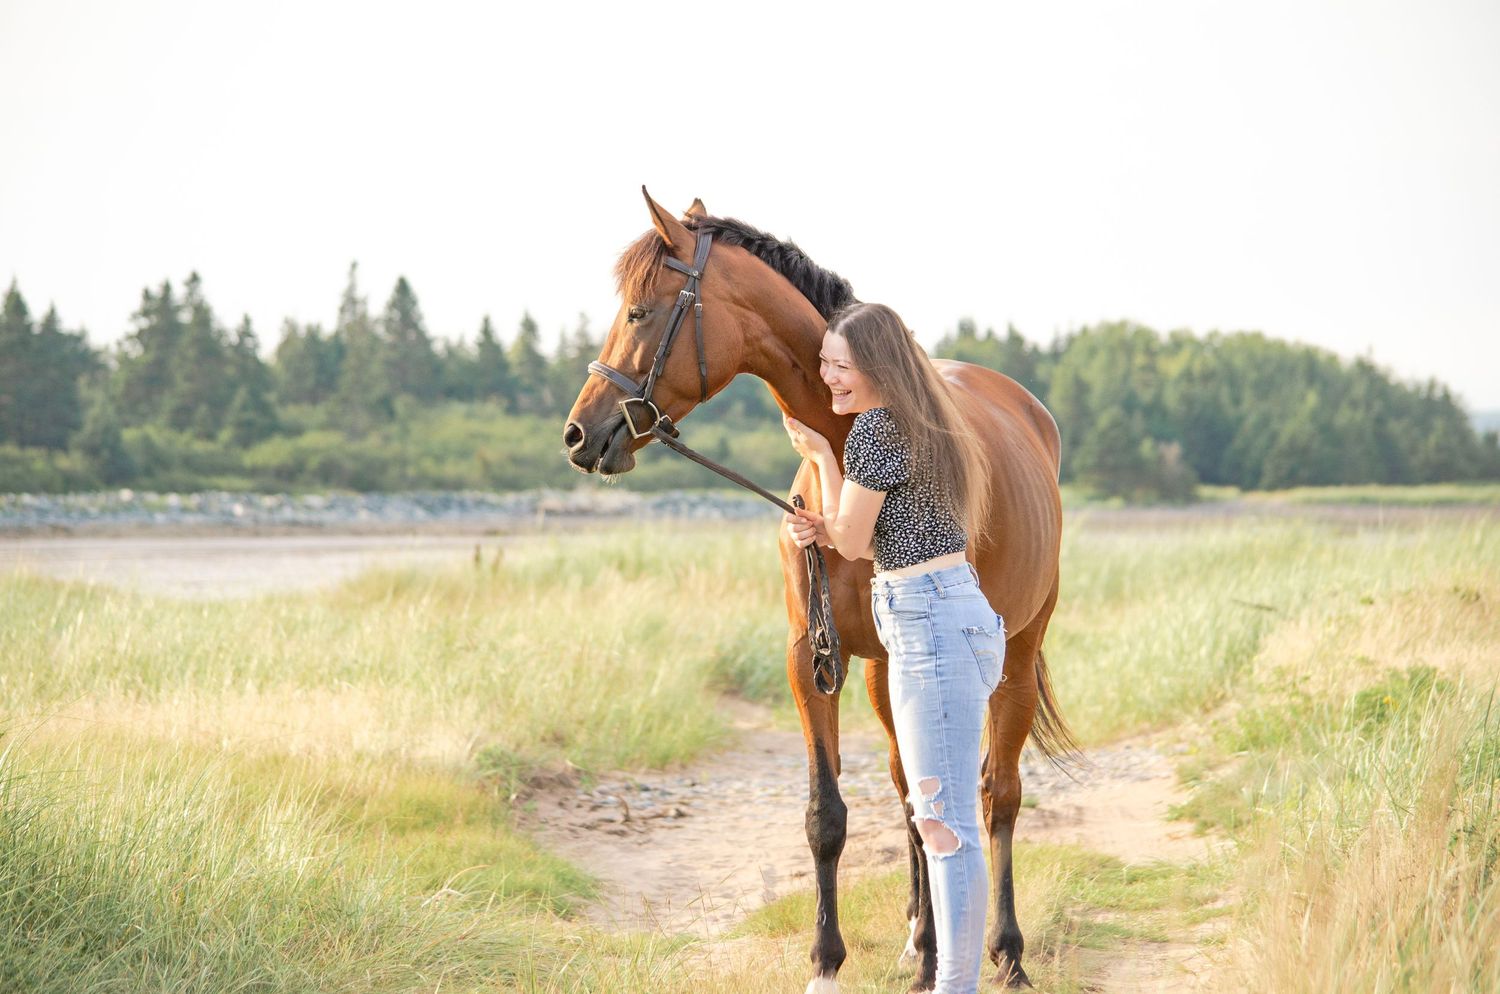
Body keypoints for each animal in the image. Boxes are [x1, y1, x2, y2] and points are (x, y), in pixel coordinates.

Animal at [563, 189, 1074, 992]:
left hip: (1015, 656)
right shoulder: (814, 659)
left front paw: (946, 955)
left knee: (999, 795)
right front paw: (832, 962)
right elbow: (828, 814)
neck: (849, 456)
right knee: (909, 790)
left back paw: (1006, 950)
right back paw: (920, 936)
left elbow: (957, 799)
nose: (580, 434)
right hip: (881, 674)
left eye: (641, 312)